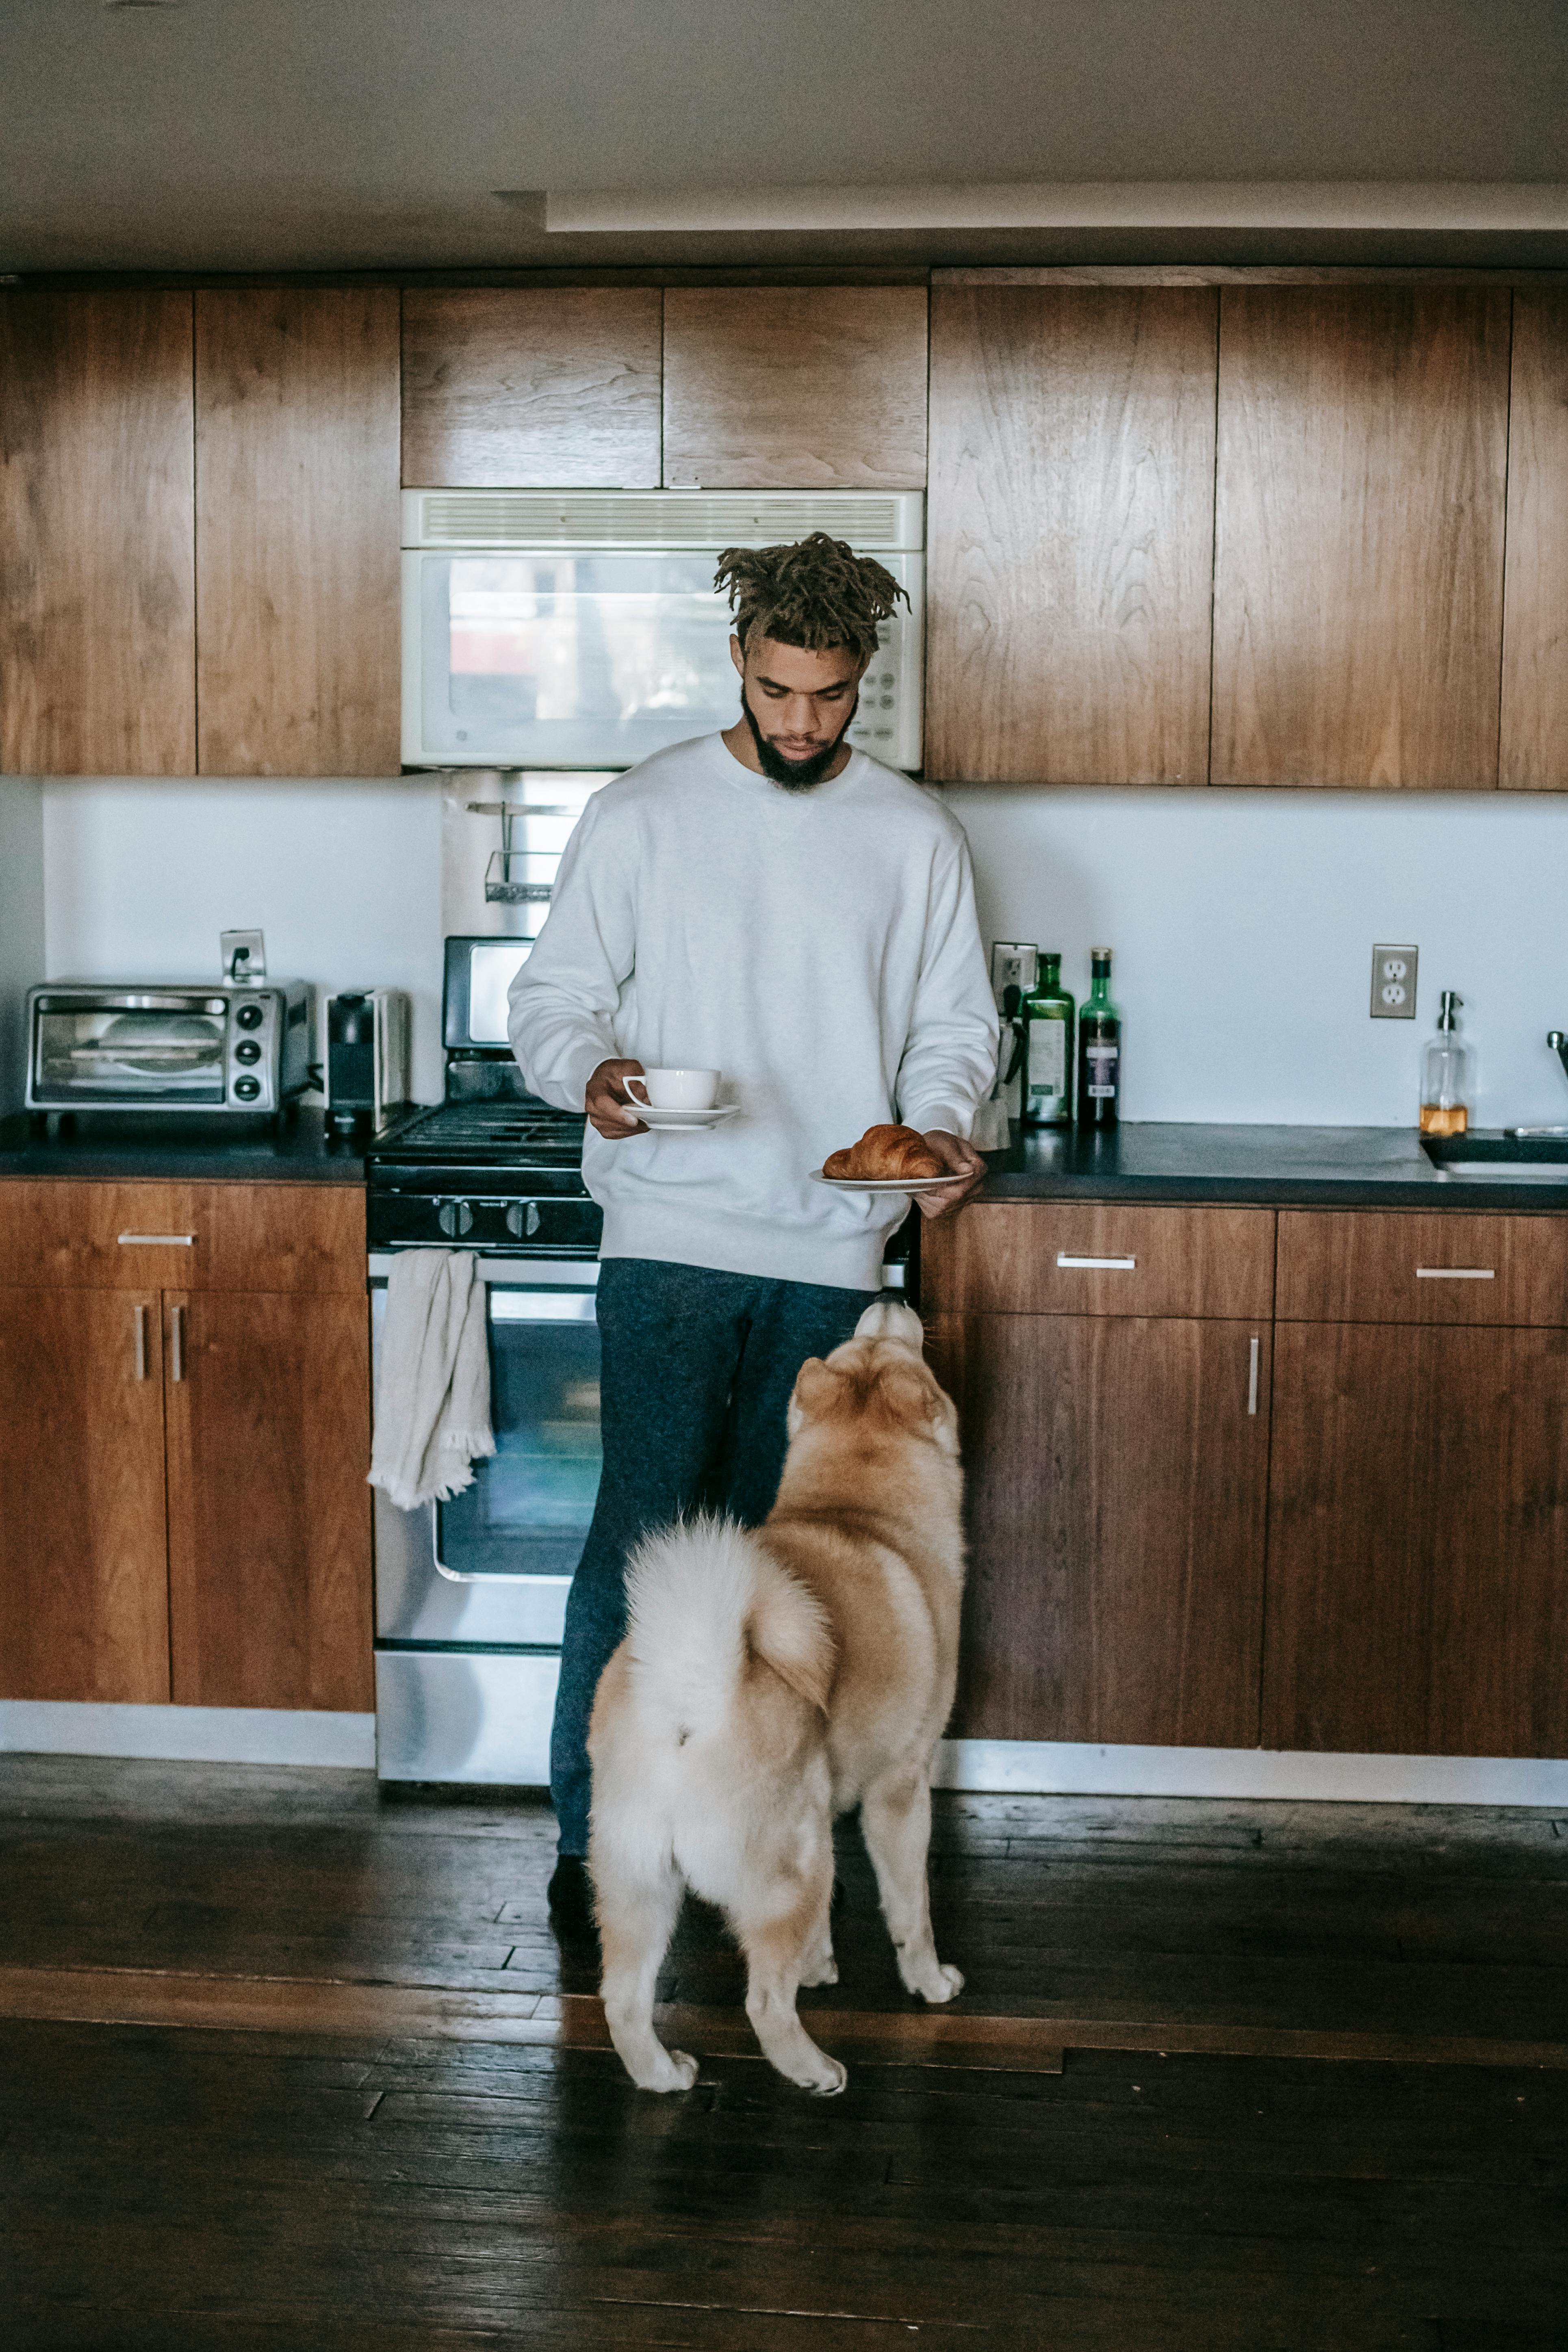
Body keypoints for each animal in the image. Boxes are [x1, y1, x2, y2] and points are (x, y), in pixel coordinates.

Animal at [585, 1307, 964, 2098]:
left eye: (869, 1345)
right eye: (899, 1348)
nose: (888, 1297)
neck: (858, 1508)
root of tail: (693, 1687)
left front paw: (820, 1967)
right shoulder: (900, 1790)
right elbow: (910, 1907)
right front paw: (929, 1981)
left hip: (639, 1883)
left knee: (624, 2000)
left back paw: (663, 2074)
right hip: (791, 1867)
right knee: (762, 2002)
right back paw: (813, 2070)